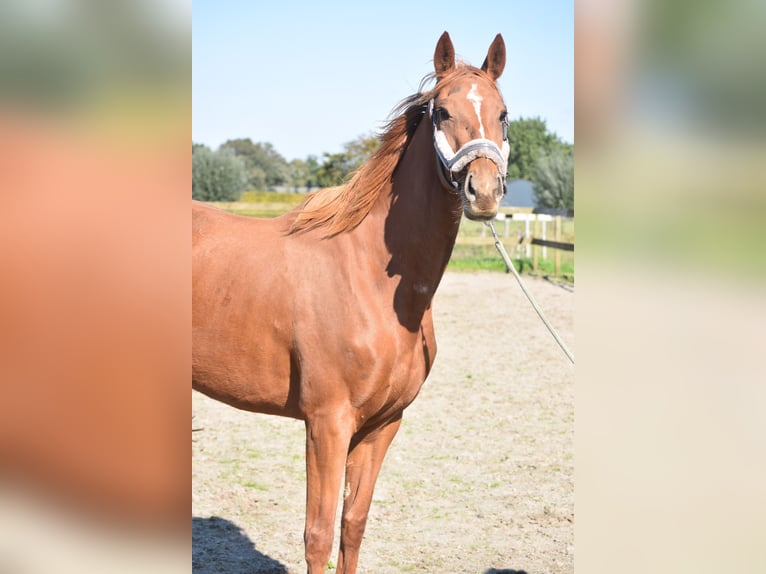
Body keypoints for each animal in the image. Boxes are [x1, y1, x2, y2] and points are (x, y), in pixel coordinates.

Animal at [194, 31, 510, 574]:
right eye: (443, 112)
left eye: (504, 113)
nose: (484, 192)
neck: (369, 282)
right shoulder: (327, 424)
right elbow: (318, 534)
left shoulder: (382, 426)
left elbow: (353, 525)